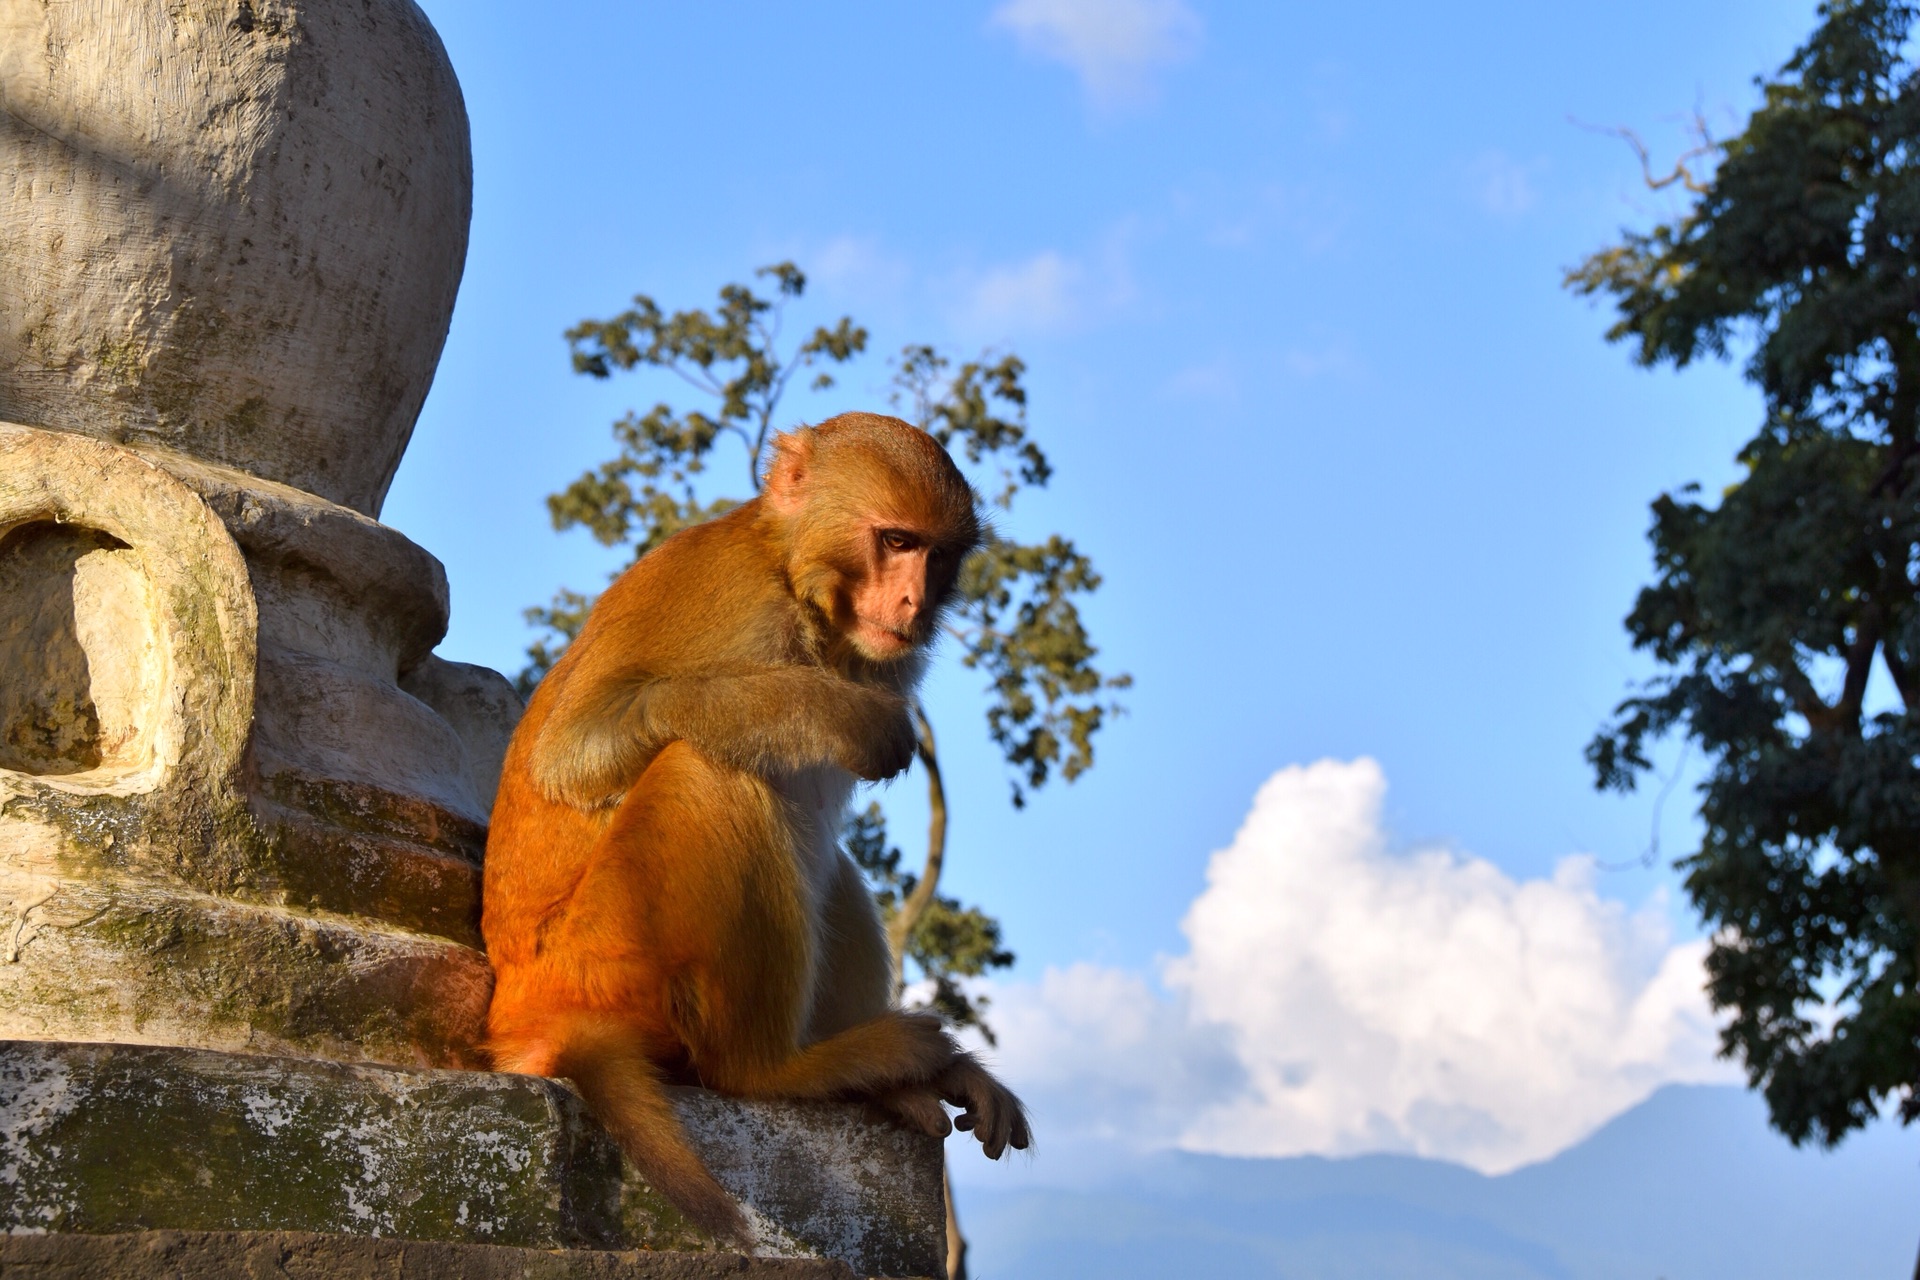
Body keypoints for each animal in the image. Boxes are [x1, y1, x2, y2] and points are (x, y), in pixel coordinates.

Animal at [480, 412, 1036, 1251]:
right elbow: (574, 750)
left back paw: (889, 1084)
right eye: (895, 540)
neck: (797, 582)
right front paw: (834, 712)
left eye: (938, 554)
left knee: (825, 857)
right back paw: (774, 1070)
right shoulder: (722, 592)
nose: (914, 600)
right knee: (709, 772)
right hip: (609, 956)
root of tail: (522, 1007)